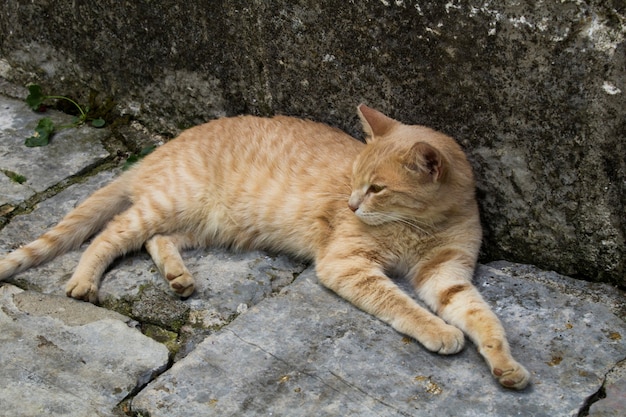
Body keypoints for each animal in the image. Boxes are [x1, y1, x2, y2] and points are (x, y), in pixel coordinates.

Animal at [0, 104, 528, 386]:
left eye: (376, 188)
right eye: (354, 182)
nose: (352, 204)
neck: (424, 226)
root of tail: (161, 148)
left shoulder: (446, 275)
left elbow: (484, 318)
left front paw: (505, 365)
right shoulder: (347, 265)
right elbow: (404, 305)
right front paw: (438, 331)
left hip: (206, 224)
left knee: (155, 240)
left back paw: (178, 277)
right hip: (171, 203)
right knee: (111, 233)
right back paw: (84, 281)